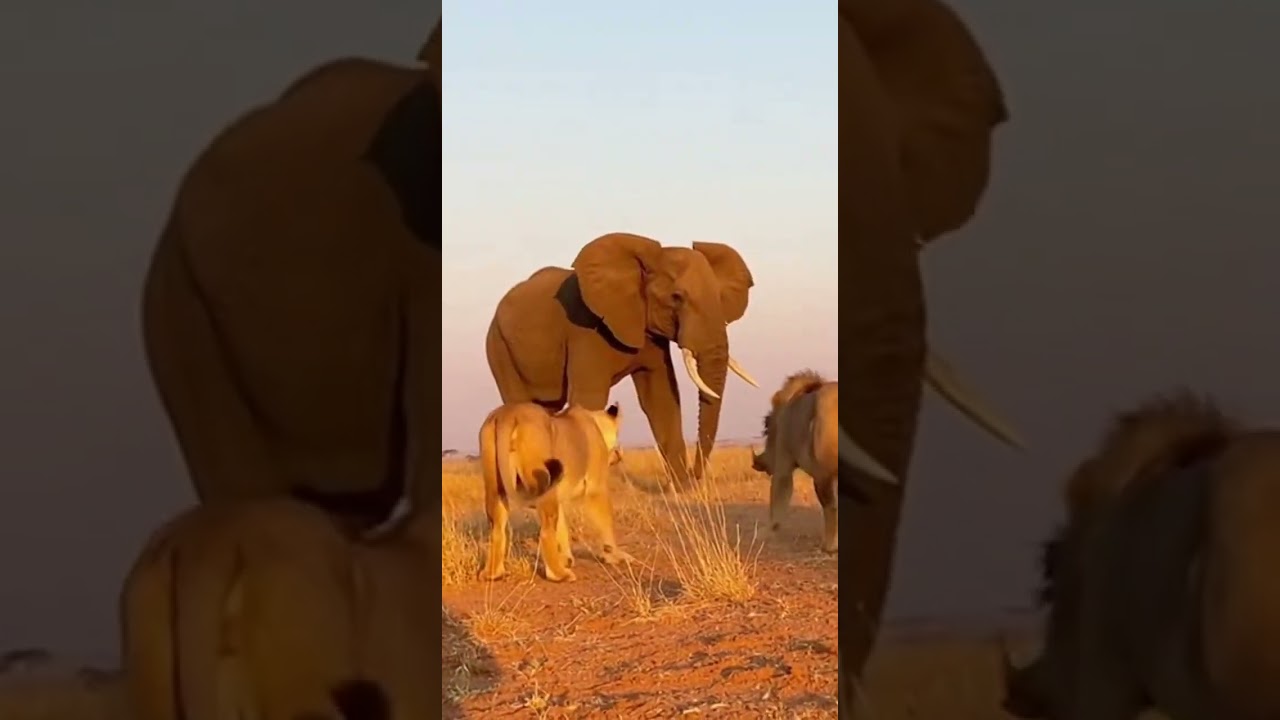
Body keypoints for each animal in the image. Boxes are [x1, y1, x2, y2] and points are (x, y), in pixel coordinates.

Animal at [478, 401, 631, 582]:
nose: (620, 454)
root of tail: (508, 413)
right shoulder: (596, 488)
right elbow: (606, 523)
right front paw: (616, 556)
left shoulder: (560, 498)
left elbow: (562, 528)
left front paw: (566, 559)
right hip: (545, 480)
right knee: (545, 532)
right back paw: (560, 574)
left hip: (495, 486)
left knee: (497, 529)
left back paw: (493, 573)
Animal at [485, 232, 761, 487]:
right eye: (676, 297)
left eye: (720, 297)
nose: (696, 477)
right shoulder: (585, 330)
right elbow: (590, 398)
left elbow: (661, 398)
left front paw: (683, 490)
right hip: (498, 348)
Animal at [752, 370, 896, 554]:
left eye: (766, 426)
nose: (757, 463)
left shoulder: (785, 460)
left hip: (825, 474)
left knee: (831, 507)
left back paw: (829, 546)